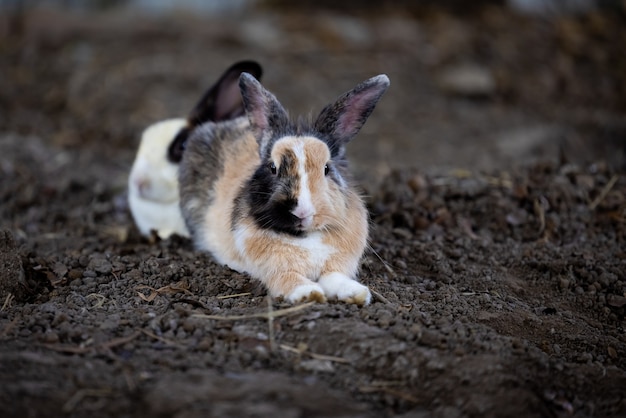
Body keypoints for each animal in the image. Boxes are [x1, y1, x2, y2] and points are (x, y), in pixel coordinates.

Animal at [178, 73, 388, 306]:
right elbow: (288, 278)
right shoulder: (276, 269)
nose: (302, 212)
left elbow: (334, 277)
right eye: (273, 168)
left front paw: (357, 294)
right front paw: (309, 293)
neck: (303, 236)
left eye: (327, 168)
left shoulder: (335, 265)